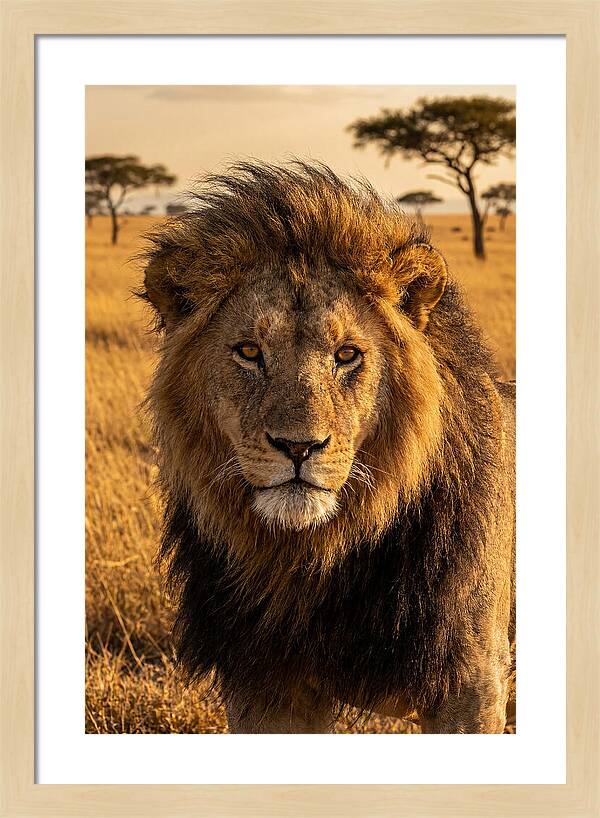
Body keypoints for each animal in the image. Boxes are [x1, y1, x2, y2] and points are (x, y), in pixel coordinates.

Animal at [141, 161, 515, 734]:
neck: (313, 559)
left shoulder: (471, 683)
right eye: (249, 351)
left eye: (347, 354)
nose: (298, 447)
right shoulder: (264, 686)